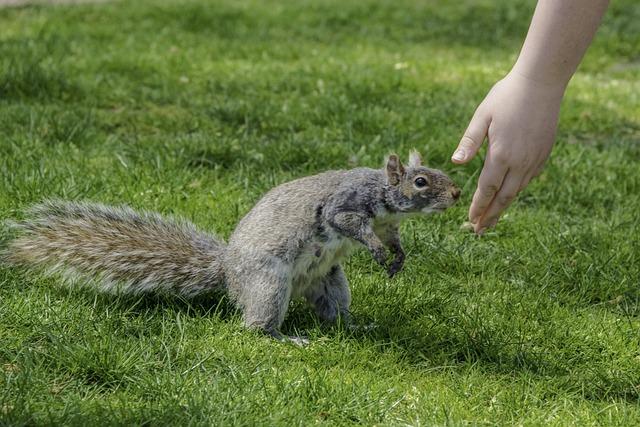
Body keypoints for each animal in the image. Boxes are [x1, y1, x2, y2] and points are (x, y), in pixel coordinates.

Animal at [1, 152, 460, 342]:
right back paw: (283, 338)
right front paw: (376, 251)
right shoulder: (343, 205)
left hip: (330, 280)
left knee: (334, 312)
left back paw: (353, 326)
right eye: (421, 182)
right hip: (269, 284)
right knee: (257, 325)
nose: (456, 194)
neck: (383, 197)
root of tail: (227, 273)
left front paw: (397, 258)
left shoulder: (389, 223)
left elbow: (393, 238)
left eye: (435, 172)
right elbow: (349, 224)